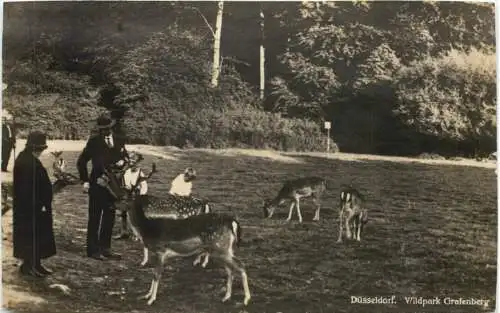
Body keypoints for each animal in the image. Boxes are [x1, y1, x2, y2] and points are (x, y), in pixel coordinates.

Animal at [116, 167, 250, 306]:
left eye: (124, 198)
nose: (113, 205)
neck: (146, 227)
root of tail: (232, 221)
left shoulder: (160, 251)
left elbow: (156, 274)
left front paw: (151, 299)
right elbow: (154, 273)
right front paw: (147, 295)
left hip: (220, 247)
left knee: (240, 265)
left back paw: (246, 298)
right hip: (224, 249)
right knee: (230, 269)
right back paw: (226, 296)